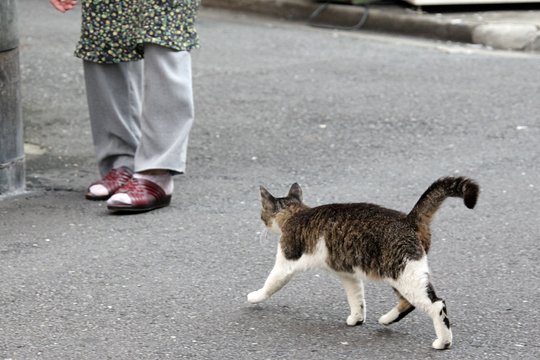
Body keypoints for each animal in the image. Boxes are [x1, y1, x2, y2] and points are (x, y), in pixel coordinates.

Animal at [247, 176, 478, 350]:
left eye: (262, 214)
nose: (261, 222)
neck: (296, 213)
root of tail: (408, 220)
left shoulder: (286, 261)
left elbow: (270, 284)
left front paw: (254, 296)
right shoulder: (348, 274)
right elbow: (356, 297)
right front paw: (356, 318)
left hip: (404, 273)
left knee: (436, 304)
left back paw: (443, 342)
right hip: (402, 274)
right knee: (408, 302)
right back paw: (386, 319)